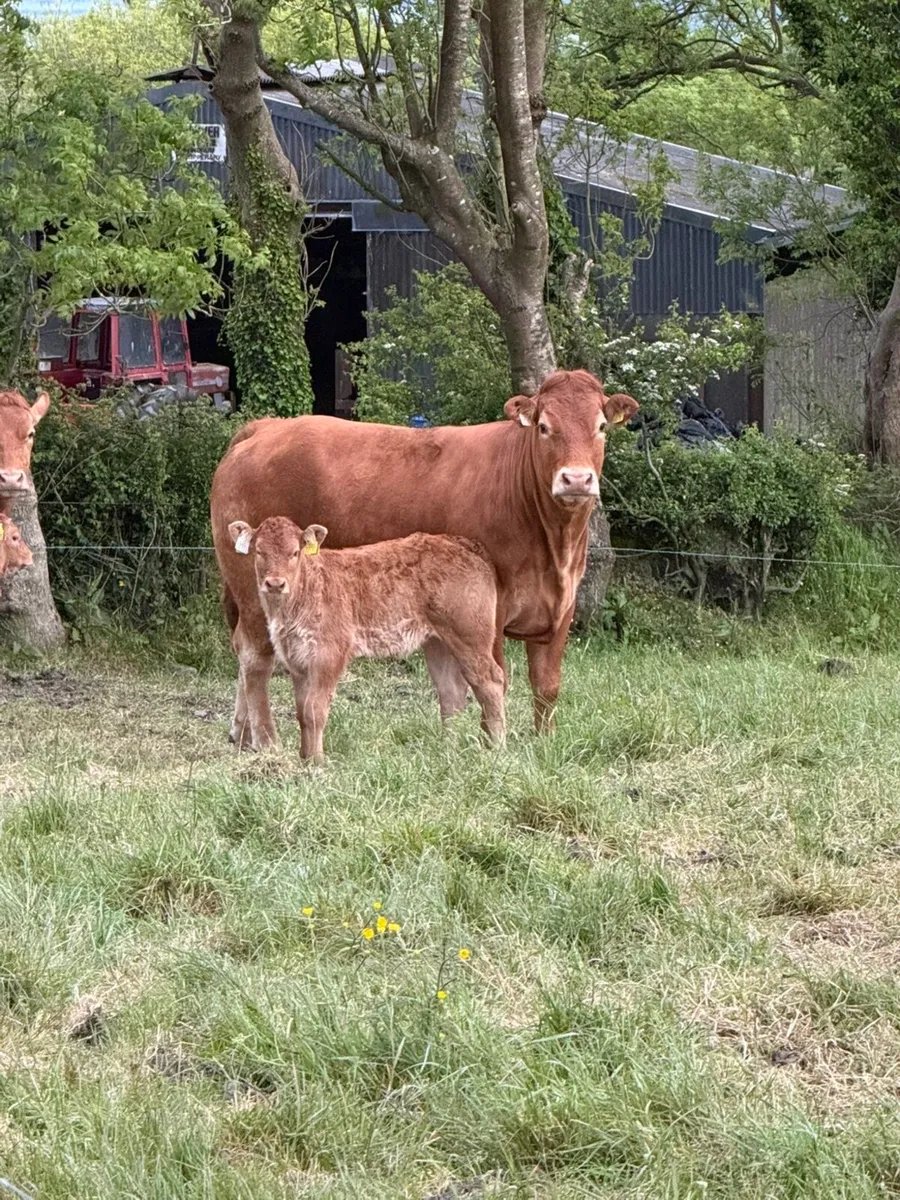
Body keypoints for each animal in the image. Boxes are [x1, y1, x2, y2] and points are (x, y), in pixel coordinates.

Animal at [227, 516, 506, 760]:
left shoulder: (329, 654)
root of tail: (464, 544)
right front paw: (304, 758)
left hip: (470, 635)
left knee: (490, 680)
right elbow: (301, 712)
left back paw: (496, 746)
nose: (275, 583)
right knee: (451, 690)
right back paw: (449, 747)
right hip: (438, 641)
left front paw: (316, 763)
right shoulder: (298, 660)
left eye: (295, 553)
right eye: (259, 552)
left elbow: (314, 710)